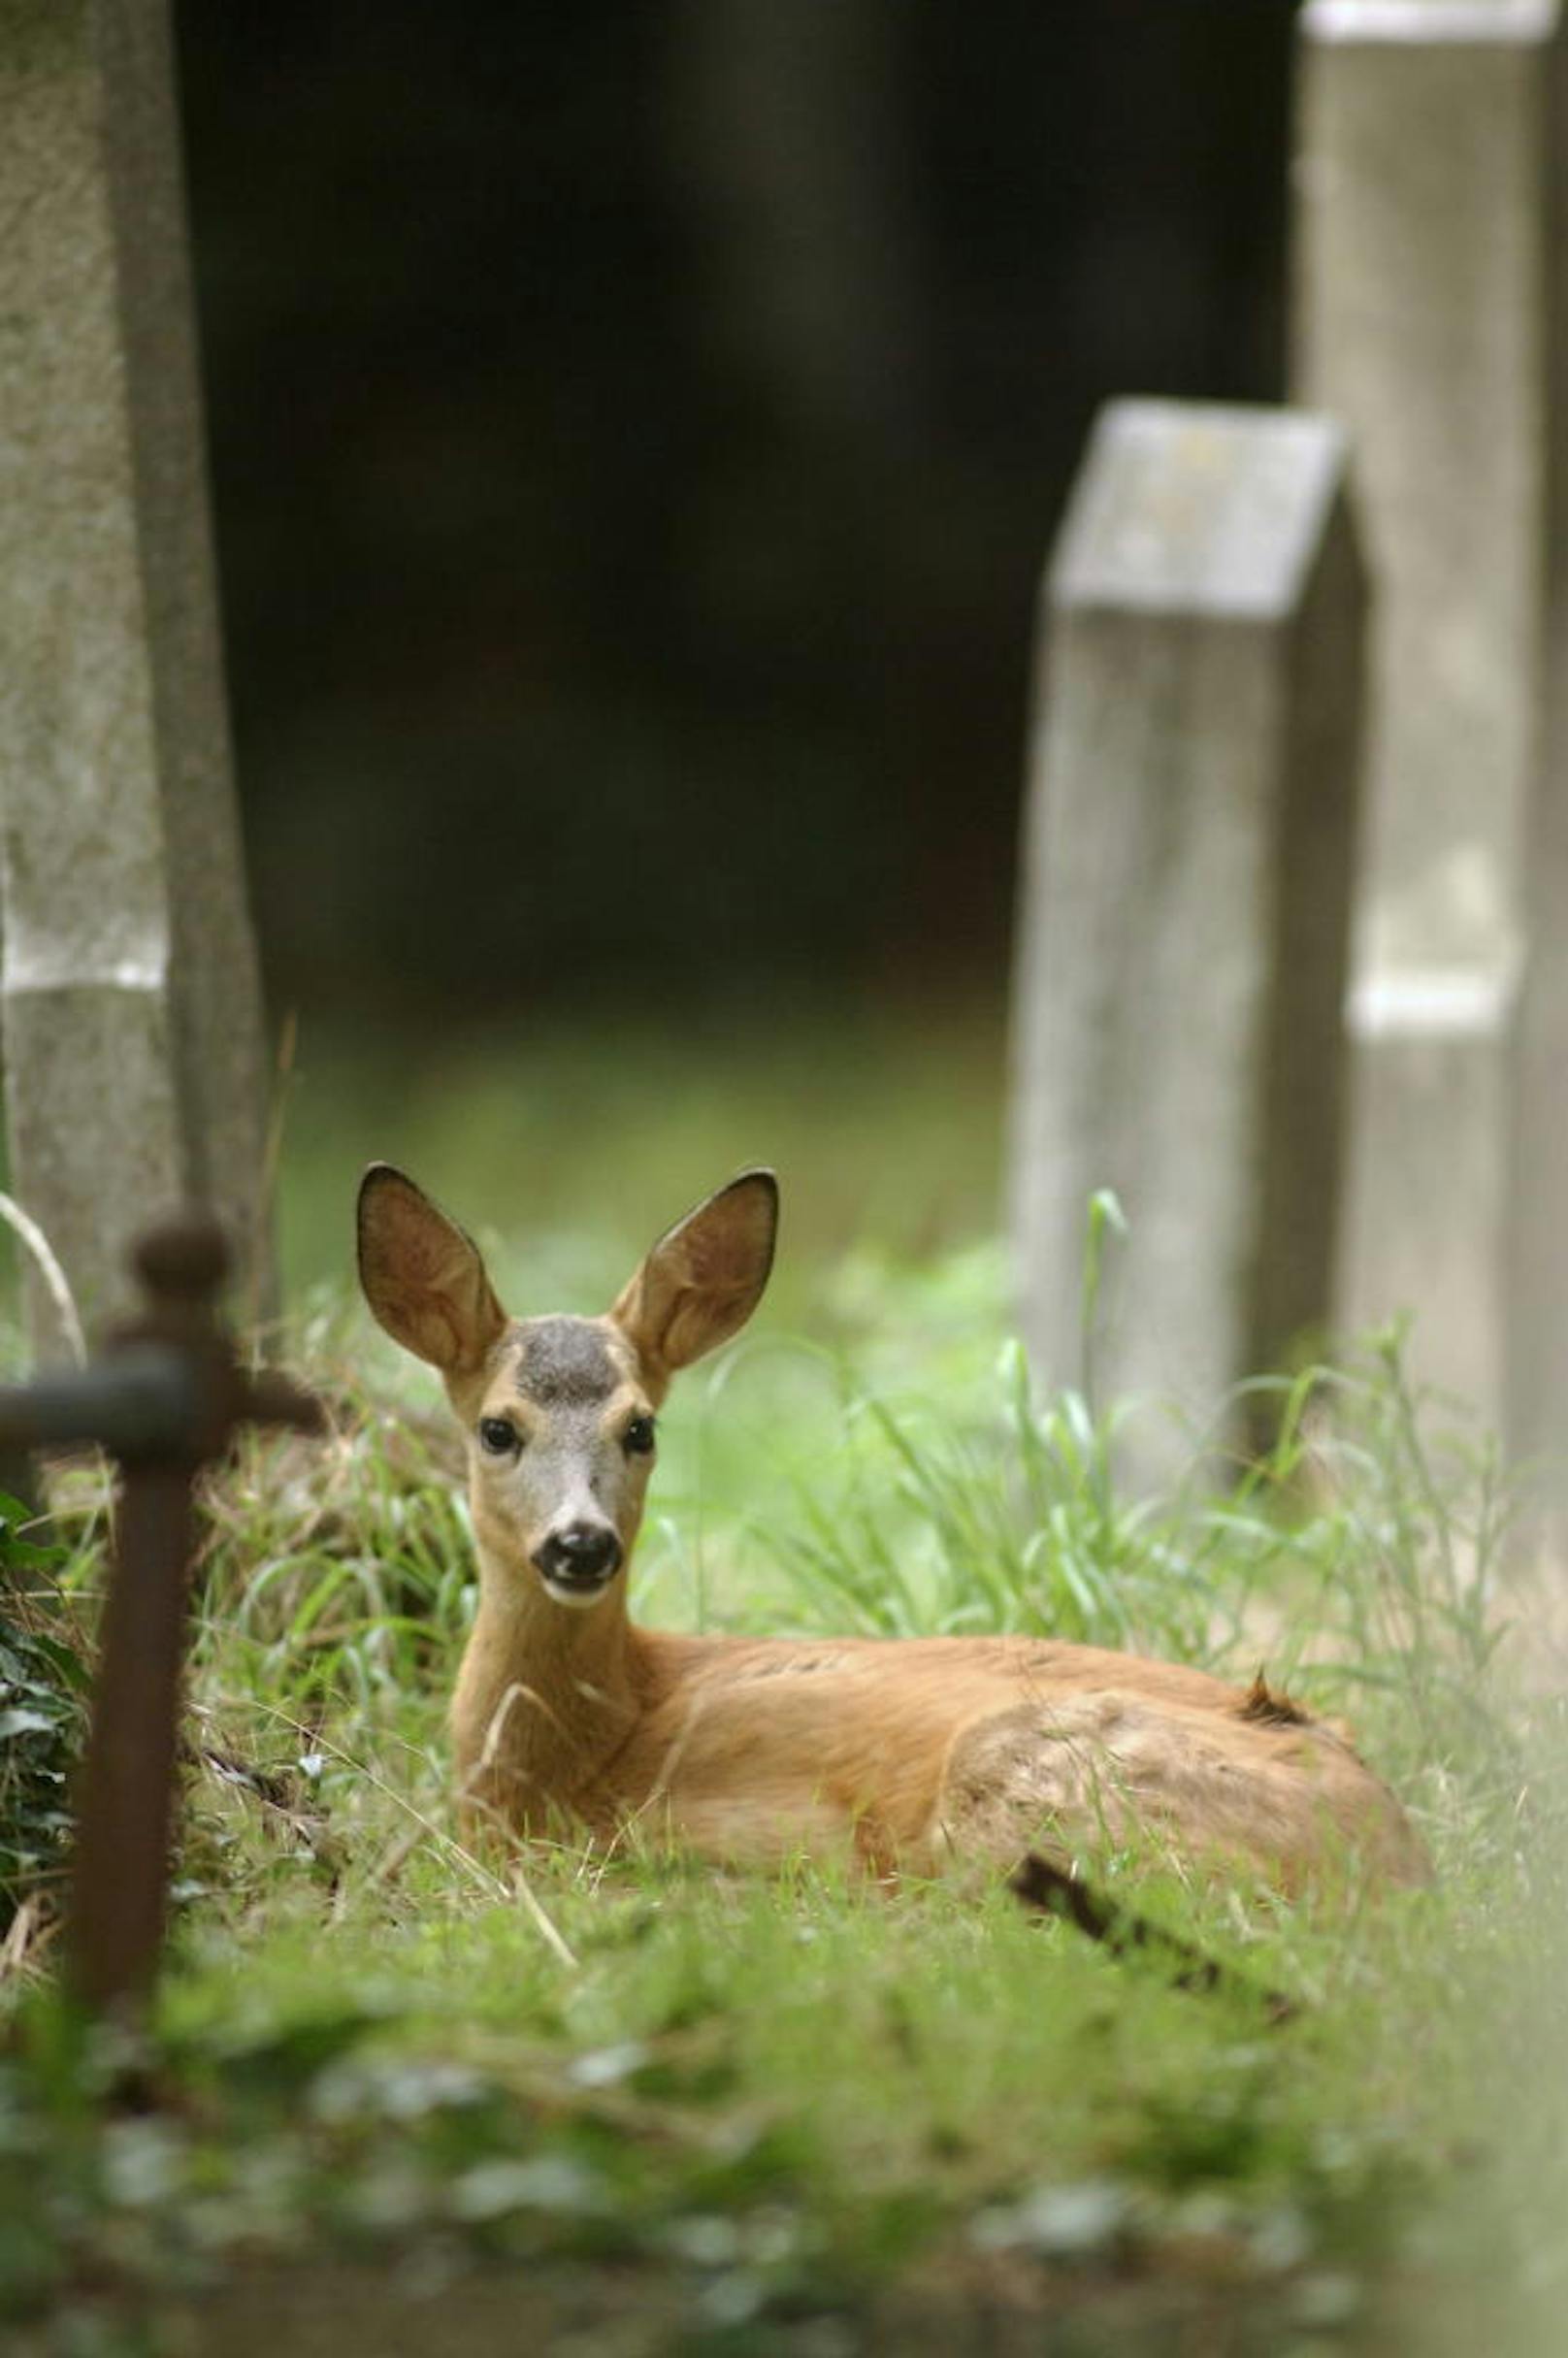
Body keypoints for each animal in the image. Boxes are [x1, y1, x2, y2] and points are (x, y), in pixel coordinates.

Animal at [358, 1160, 1433, 1895]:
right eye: (498, 1428)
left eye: (640, 1427)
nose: (580, 1543)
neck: (592, 1746)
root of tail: (1395, 1856)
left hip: (1022, 1773)